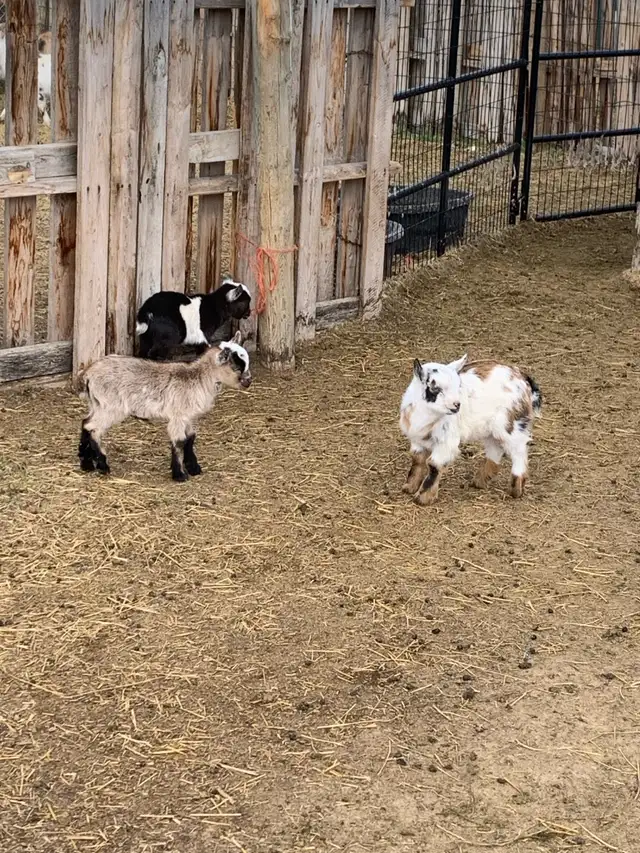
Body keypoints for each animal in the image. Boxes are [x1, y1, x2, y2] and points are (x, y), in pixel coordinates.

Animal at [76, 332, 252, 482]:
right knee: (93, 429)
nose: (248, 381)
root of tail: (88, 375)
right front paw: (180, 475)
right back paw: (103, 465)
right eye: (237, 367)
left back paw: (86, 464)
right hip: (111, 407)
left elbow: (190, 438)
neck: (199, 378)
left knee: (85, 423)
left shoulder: (188, 416)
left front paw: (194, 468)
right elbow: (179, 441)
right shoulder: (178, 415)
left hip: (97, 404)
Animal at [399, 354, 542, 505]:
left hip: (511, 424)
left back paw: (516, 489)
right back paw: (480, 481)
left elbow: (434, 465)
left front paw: (423, 498)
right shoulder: (417, 440)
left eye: (458, 386)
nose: (456, 405)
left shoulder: (446, 442)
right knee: (495, 449)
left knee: (518, 450)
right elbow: (417, 460)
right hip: (491, 428)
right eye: (435, 388)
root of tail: (522, 377)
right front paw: (409, 487)